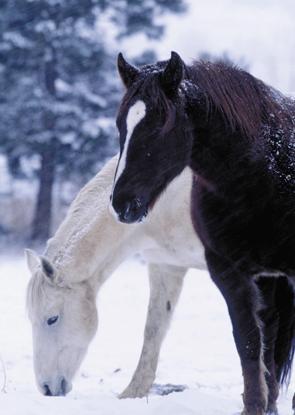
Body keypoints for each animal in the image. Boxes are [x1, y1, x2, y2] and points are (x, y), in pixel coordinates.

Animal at [110, 53, 295, 414]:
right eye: (121, 125)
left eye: (160, 125)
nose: (122, 202)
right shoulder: (229, 272)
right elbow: (249, 344)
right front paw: (254, 407)